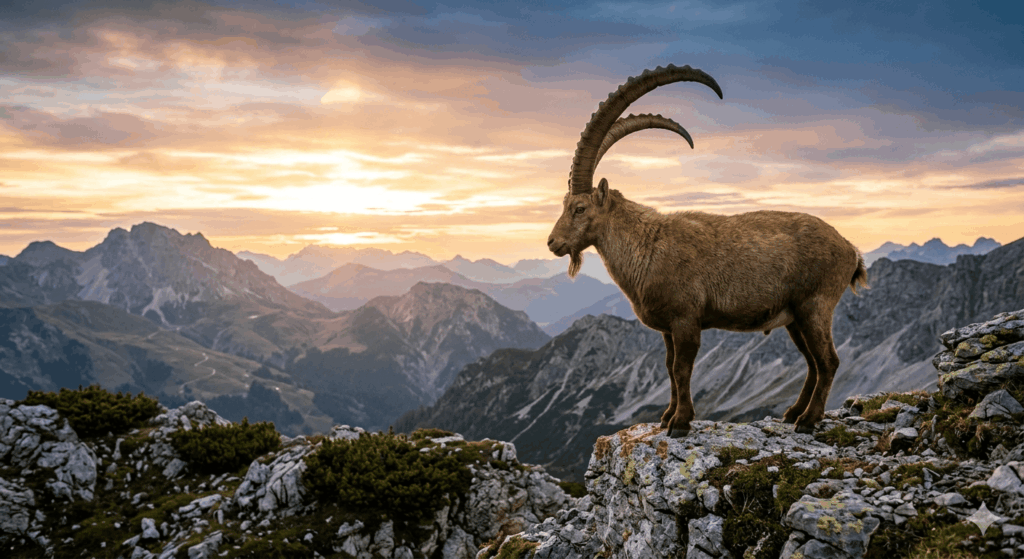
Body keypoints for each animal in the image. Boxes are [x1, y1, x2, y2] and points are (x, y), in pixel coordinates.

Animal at [546, 64, 868, 436]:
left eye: (580, 208)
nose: (552, 242)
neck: (647, 246)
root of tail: (850, 249)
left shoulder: (686, 320)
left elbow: (682, 369)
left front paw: (680, 423)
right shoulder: (668, 329)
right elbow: (669, 368)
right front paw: (667, 417)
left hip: (815, 306)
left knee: (828, 361)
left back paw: (808, 420)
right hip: (794, 318)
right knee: (813, 363)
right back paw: (793, 413)